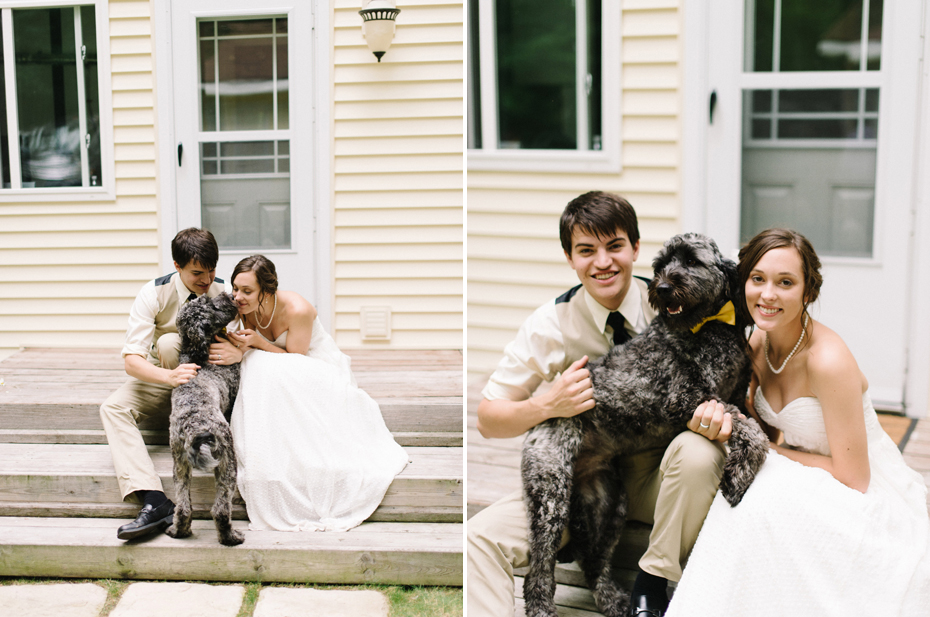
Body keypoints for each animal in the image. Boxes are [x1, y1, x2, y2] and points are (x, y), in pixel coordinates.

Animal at [165, 292, 243, 544]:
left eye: (205, 299)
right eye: (211, 307)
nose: (228, 295)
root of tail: (195, 428)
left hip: (179, 463)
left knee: (183, 507)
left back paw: (179, 531)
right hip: (227, 460)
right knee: (220, 509)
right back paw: (231, 537)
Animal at [520, 232, 768, 616]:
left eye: (692, 261)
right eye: (660, 265)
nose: (663, 288)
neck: (709, 325)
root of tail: (536, 420)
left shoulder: (736, 395)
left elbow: (752, 424)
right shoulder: (687, 398)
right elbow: (751, 431)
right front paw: (739, 477)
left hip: (607, 503)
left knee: (594, 562)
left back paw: (614, 599)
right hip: (551, 492)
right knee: (539, 565)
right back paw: (543, 607)